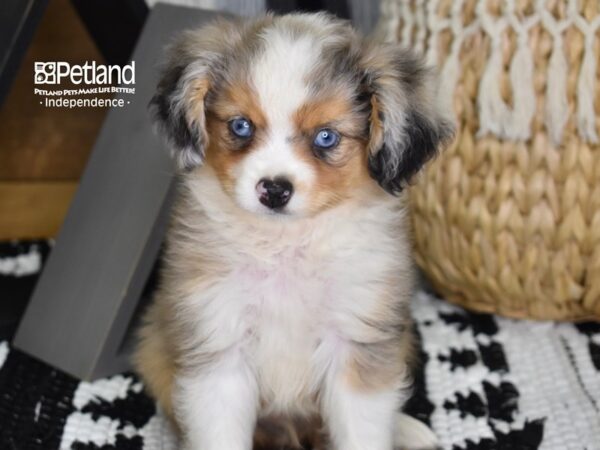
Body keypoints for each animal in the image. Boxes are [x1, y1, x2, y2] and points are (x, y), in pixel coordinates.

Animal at [134, 12, 452, 450]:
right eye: (241, 126)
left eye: (326, 136)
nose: (274, 189)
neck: (286, 247)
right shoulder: (219, 340)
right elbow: (220, 431)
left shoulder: (356, 336)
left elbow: (363, 429)